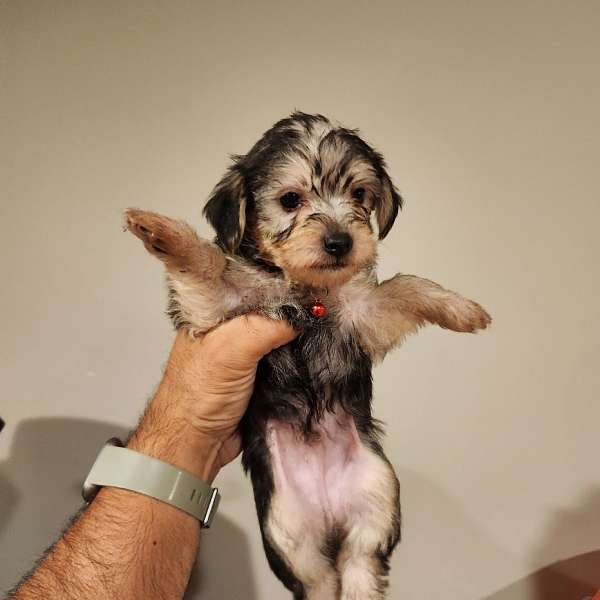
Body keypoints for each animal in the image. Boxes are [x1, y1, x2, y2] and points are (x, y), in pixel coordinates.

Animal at [124, 113, 490, 600]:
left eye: (359, 195)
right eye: (290, 200)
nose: (339, 241)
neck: (309, 291)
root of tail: (328, 511)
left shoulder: (364, 314)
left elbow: (405, 287)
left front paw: (463, 309)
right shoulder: (222, 305)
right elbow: (205, 263)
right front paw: (158, 230)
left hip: (377, 494)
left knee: (360, 560)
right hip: (286, 529)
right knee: (318, 581)